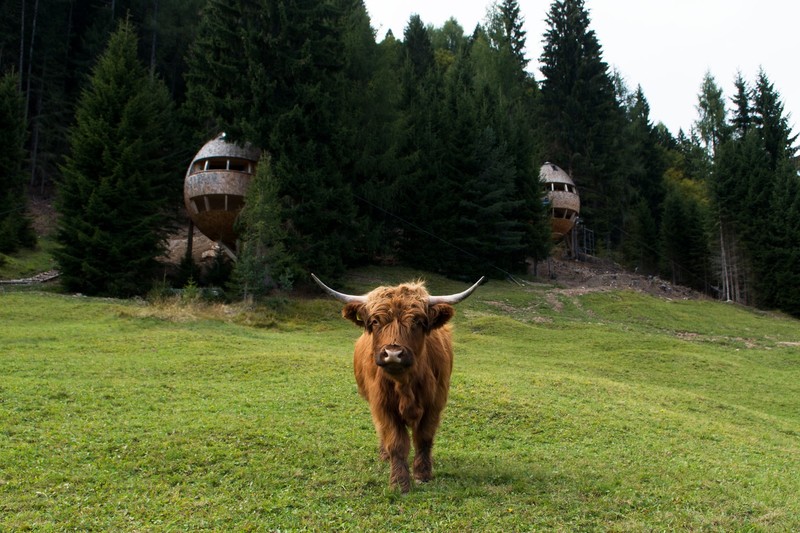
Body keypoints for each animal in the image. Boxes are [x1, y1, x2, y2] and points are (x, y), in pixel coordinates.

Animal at [311, 274, 483, 492]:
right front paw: (400, 483)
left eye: (418, 321)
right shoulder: (383, 406)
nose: (393, 354)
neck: (405, 384)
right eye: (375, 321)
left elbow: (424, 438)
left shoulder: (434, 405)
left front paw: (422, 474)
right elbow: (396, 442)